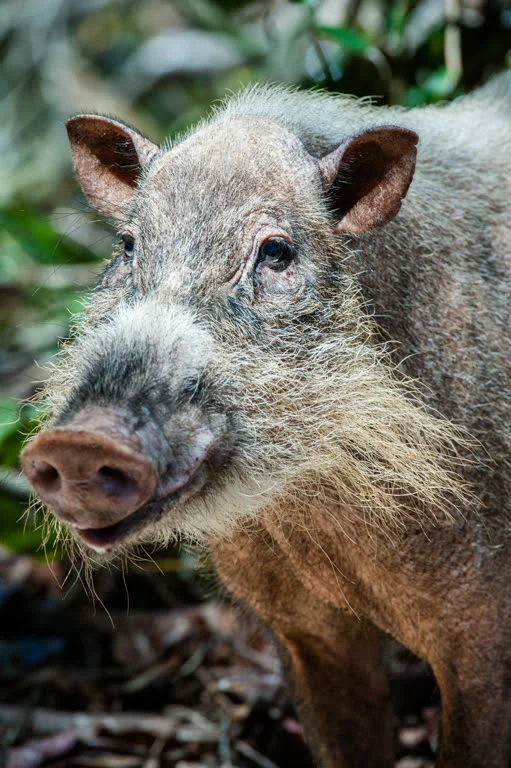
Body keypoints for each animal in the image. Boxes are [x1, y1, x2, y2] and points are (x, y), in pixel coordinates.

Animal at [21, 72, 511, 767]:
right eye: (127, 246)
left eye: (276, 252)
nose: (80, 441)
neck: (315, 515)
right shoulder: (305, 636)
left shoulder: (484, 629)